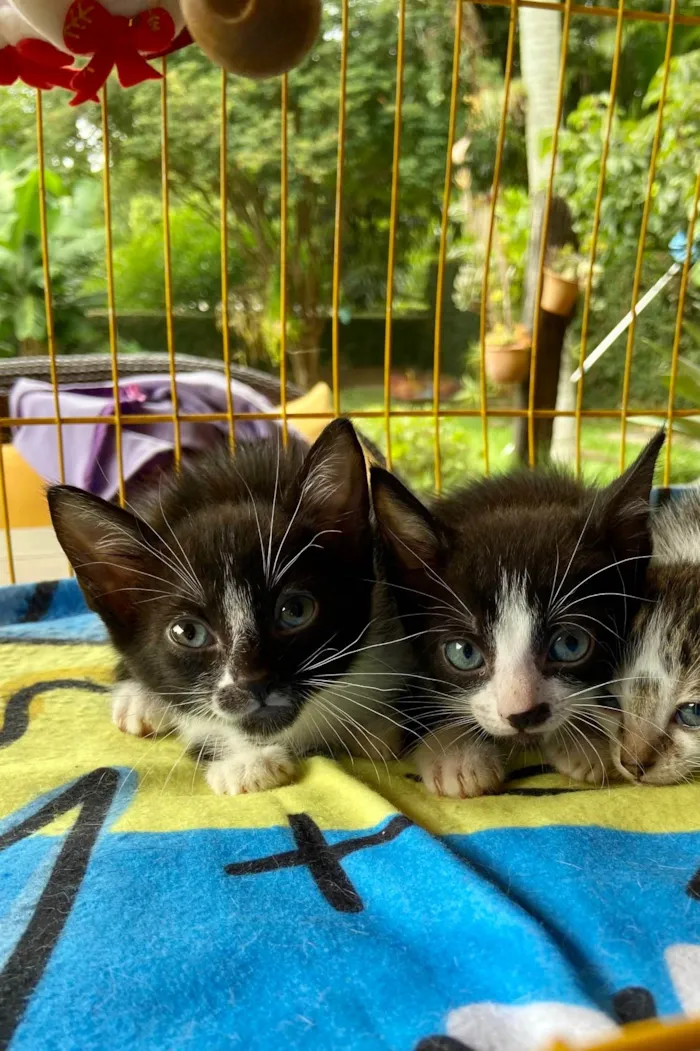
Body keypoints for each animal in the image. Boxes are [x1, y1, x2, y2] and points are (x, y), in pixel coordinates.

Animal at [49, 418, 403, 794]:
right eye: (188, 633)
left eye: (295, 611)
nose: (254, 682)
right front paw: (246, 764)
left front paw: (374, 725)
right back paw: (139, 701)